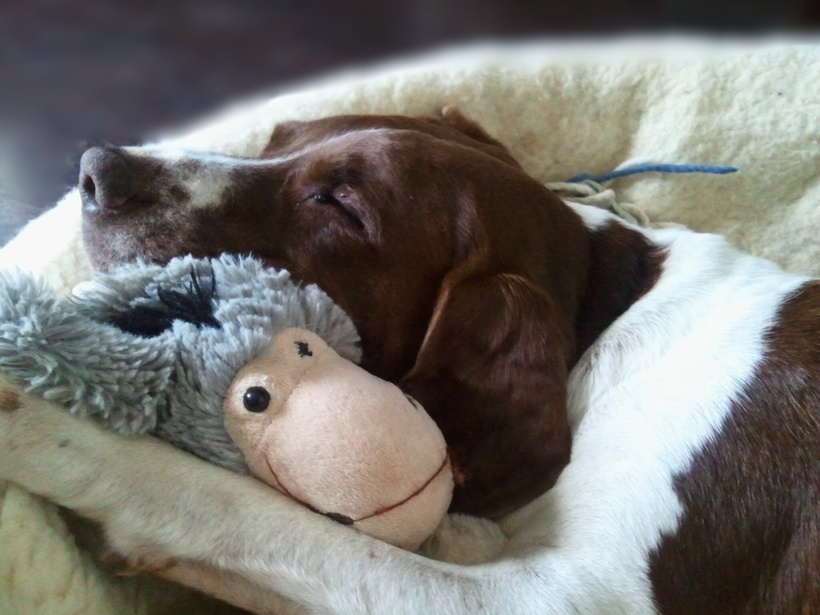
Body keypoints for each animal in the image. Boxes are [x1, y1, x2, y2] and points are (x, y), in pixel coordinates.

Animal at [1, 108, 820, 612]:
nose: (96, 170)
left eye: (342, 206)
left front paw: (41, 423)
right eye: (276, 140)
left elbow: (217, 502)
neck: (600, 311)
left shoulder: (551, 597)